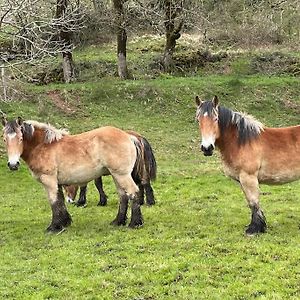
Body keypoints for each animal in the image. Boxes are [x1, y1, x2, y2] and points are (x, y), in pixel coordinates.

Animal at [2, 117, 145, 232]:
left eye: (20, 138)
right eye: (4, 139)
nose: (13, 164)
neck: (43, 146)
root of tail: (128, 136)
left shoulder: (49, 181)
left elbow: (54, 201)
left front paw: (54, 227)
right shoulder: (57, 183)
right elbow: (60, 200)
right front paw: (64, 222)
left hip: (122, 175)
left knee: (133, 193)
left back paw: (135, 223)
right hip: (116, 175)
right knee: (123, 196)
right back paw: (118, 222)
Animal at [195, 95, 300, 236]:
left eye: (215, 119)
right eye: (198, 119)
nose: (207, 148)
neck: (241, 142)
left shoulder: (248, 177)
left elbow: (253, 202)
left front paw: (254, 229)